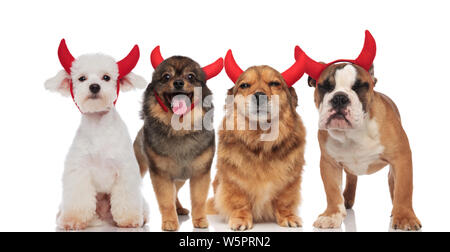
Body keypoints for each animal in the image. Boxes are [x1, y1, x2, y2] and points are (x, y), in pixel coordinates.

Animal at [45, 39, 149, 230]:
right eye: (82, 78)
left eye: (106, 77)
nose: (94, 86)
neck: (99, 126)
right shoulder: (79, 170)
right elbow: (78, 197)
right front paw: (73, 220)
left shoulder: (125, 170)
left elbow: (126, 198)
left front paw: (129, 219)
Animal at [134, 46, 224, 231]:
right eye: (166, 76)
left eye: (190, 76)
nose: (178, 82)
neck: (180, 129)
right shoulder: (160, 175)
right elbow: (165, 200)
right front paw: (169, 221)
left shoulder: (200, 173)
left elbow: (198, 200)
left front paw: (199, 220)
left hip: (180, 179)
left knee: (176, 191)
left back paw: (180, 209)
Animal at [208, 49, 308, 230]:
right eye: (244, 85)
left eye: (274, 84)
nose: (259, 95)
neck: (261, 139)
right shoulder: (233, 181)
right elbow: (239, 201)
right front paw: (241, 219)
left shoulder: (290, 180)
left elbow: (284, 201)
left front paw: (288, 216)